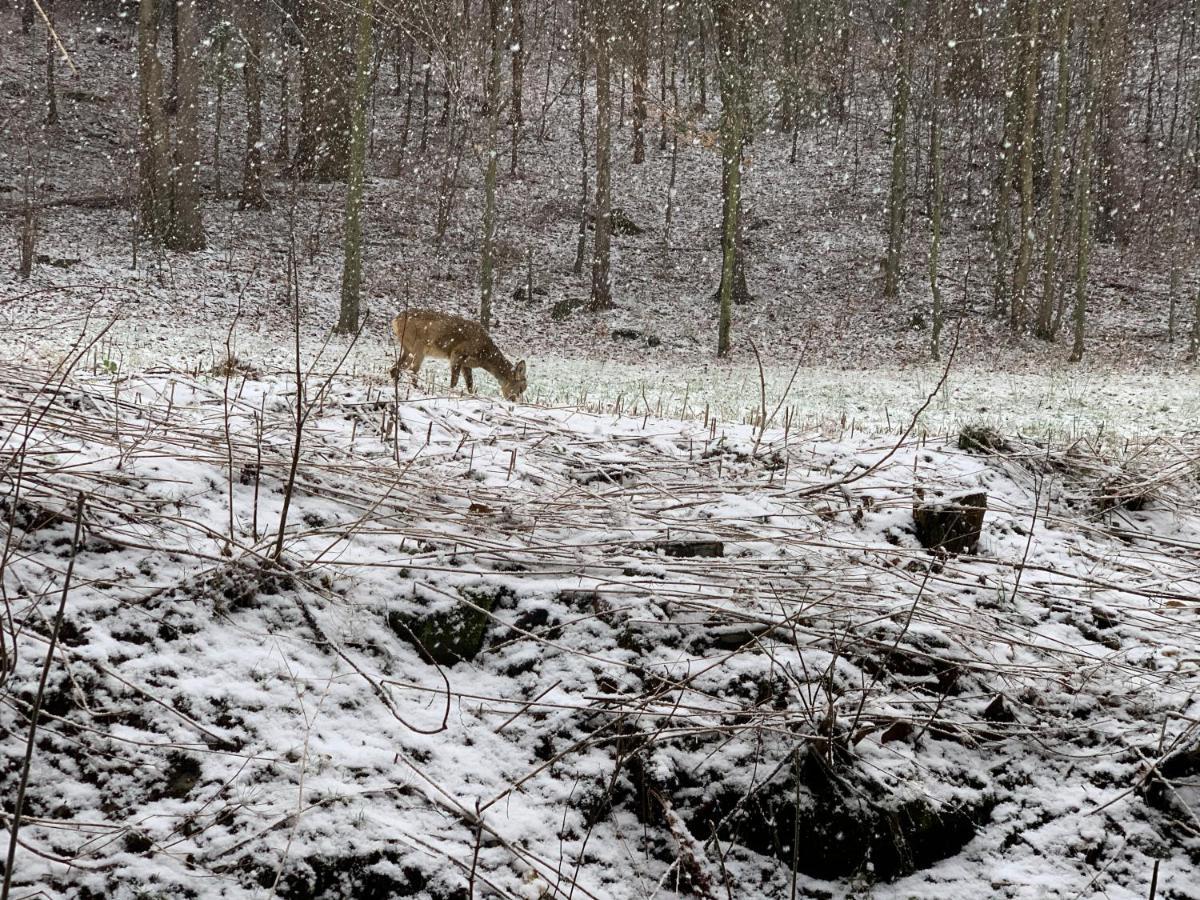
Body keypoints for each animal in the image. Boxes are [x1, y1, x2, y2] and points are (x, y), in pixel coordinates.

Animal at [391, 309, 528, 400]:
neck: (484, 356)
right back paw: (418, 389)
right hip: (419, 346)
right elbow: (454, 381)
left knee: (395, 367)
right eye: (521, 388)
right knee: (412, 369)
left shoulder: (466, 364)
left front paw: (472, 396)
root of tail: (395, 320)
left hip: (407, 348)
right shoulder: (457, 353)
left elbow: (470, 384)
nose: (515, 401)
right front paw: (450, 394)